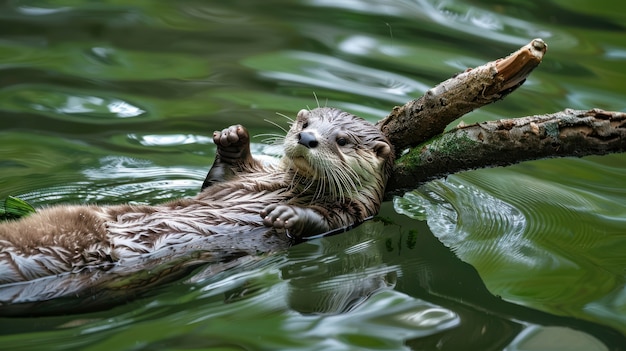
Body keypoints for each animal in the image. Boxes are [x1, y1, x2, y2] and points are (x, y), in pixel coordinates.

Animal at [0, 107, 390, 310]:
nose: (306, 138)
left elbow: (323, 223)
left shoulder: (355, 212)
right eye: (305, 124)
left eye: (342, 140)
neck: (290, 186)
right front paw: (233, 138)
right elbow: (218, 179)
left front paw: (288, 215)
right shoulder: (237, 181)